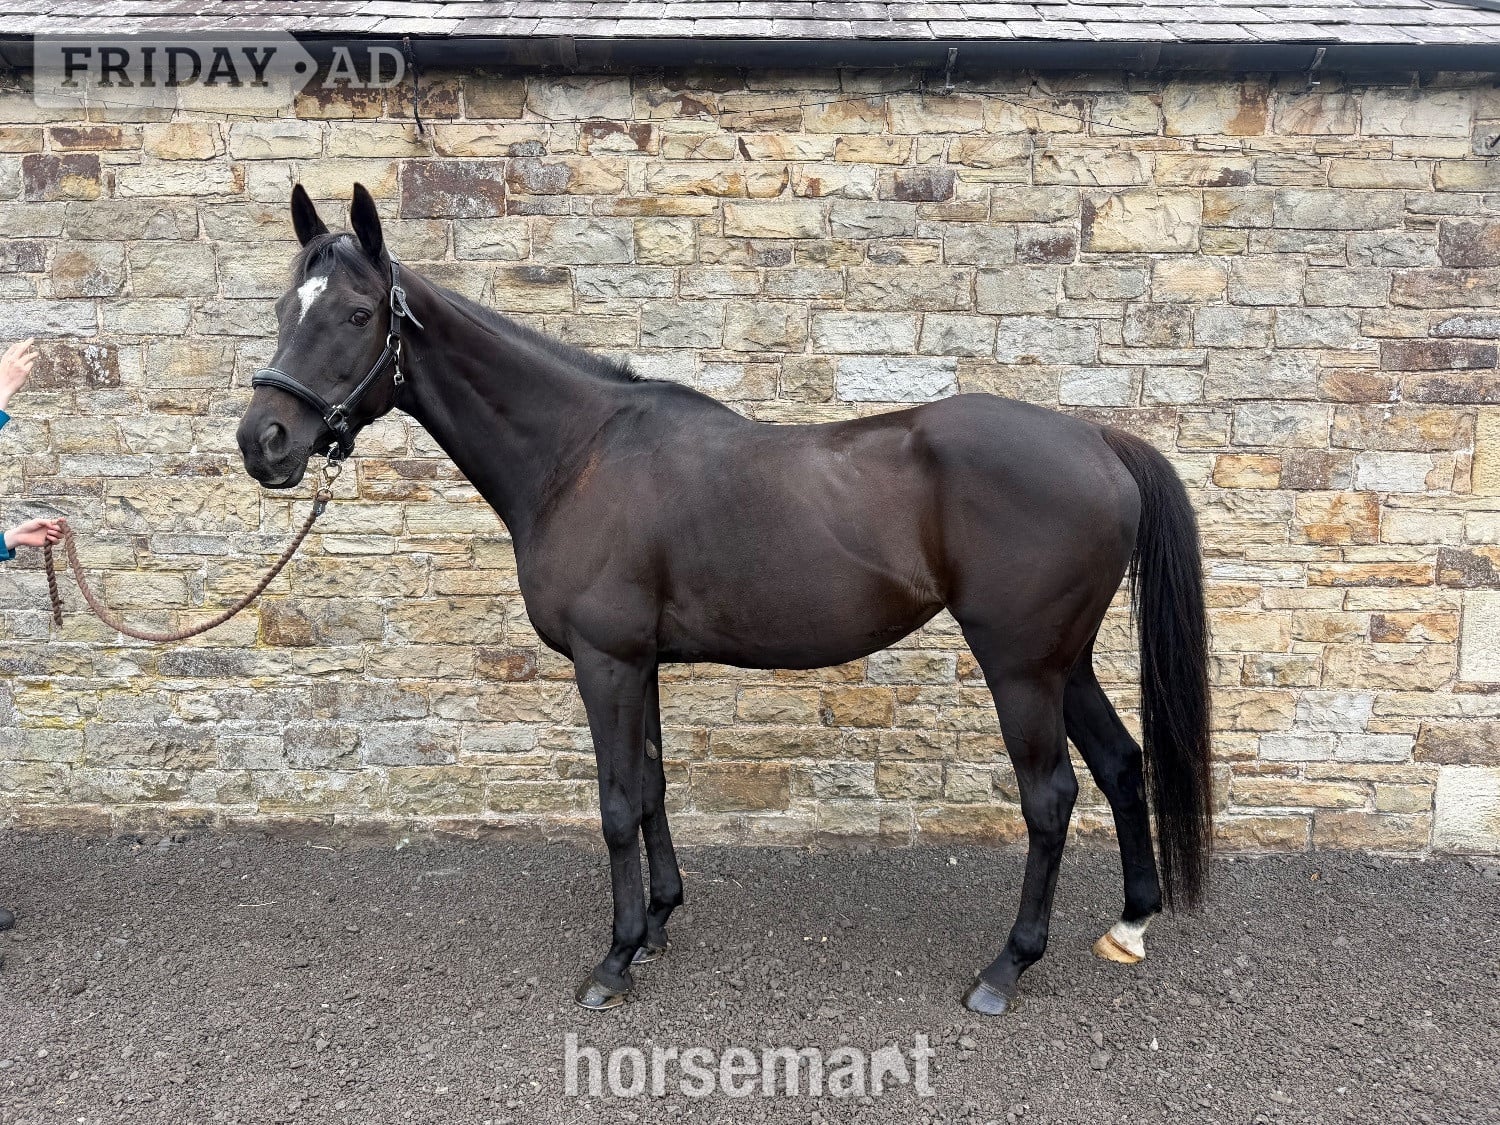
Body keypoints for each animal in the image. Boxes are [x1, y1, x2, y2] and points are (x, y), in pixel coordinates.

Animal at [235, 184, 1213, 1016]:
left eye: (357, 314)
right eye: (285, 310)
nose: (264, 441)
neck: (579, 454)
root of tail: (1099, 440)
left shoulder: (606, 662)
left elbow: (615, 803)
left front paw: (615, 958)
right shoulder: (640, 663)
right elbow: (652, 788)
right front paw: (659, 922)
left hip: (1019, 666)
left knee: (1050, 798)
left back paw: (1005, 968)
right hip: (1062, 661)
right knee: (1121, 762)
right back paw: (1129, 922)